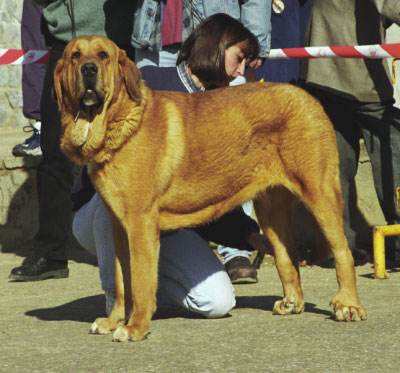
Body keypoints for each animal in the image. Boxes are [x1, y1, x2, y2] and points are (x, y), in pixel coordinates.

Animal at [54, 36, 368, 342]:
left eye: (103, 55)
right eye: (75, 56)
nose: (89, 69)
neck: (113, 123)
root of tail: (308, 97)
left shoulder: (140, 224)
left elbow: (141, 281)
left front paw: (135, 328)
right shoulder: (119, 226)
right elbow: (122, 280)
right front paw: (114, 321)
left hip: (319, 194)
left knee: (343, 252)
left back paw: (349, 305)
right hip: (270, 211)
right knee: (286, 255)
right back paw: (292, 302)